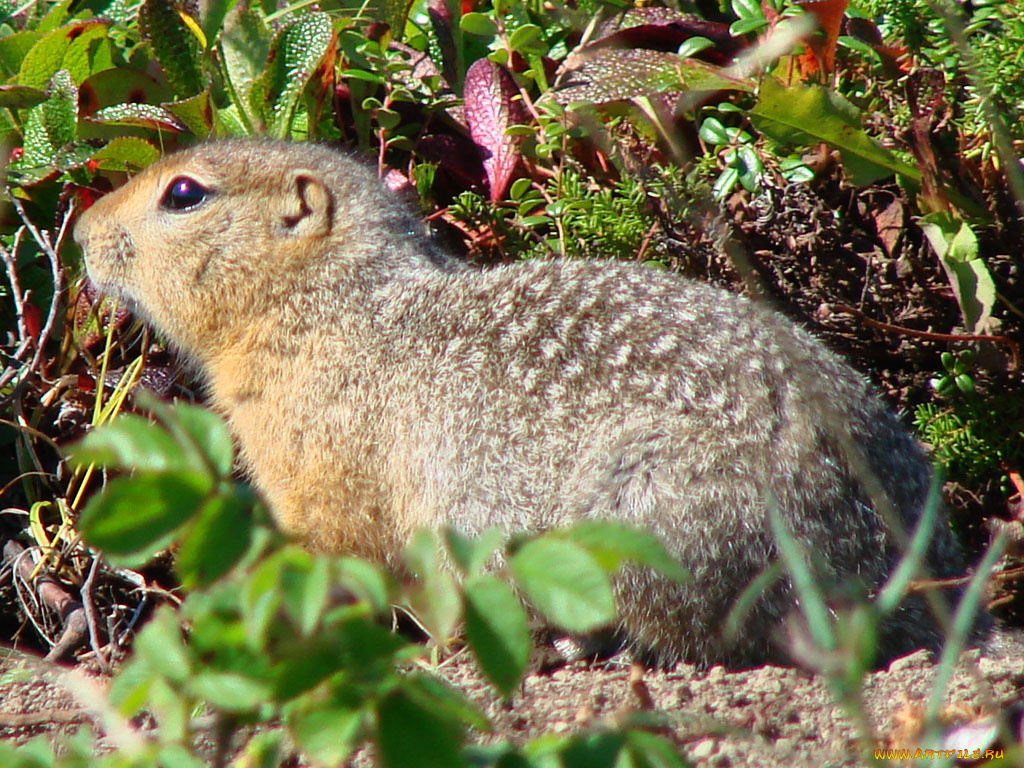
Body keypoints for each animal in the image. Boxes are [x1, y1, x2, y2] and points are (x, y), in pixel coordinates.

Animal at [75, 138, 962, 667]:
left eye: (184, 194)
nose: (79, 231)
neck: (329, 308)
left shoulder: (322, 475)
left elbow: (331, 554)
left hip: (656, 516)